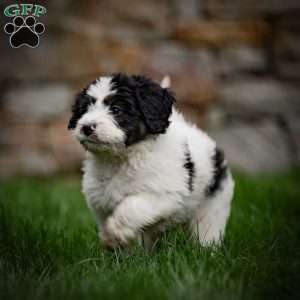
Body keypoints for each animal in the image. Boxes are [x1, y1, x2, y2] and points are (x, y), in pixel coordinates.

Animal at [68, 72, 234, 248]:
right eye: (84, 110)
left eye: (116, 109)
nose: (86, 127)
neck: (122, 158)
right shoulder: (100, 203)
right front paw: (118, 247)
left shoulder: (162, 194)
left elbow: (131, 207)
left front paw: (114, 232)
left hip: (214, 203)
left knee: (208, 228)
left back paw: (207, 249)